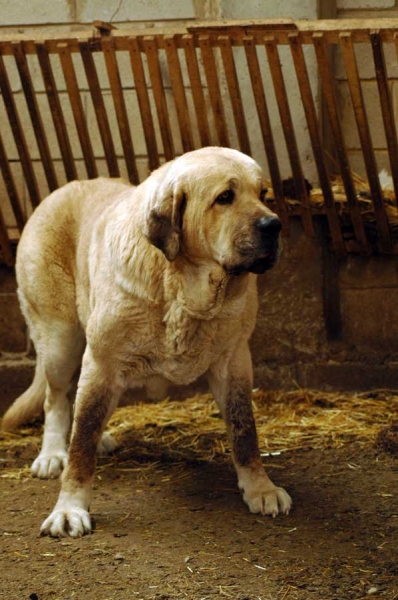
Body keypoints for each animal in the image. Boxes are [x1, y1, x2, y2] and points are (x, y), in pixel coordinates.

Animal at [1, 148, 290, 536]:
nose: (273, 225)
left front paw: (260, 488)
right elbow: (81, 444)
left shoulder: (235, 361)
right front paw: (69, 508)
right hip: (60, 341)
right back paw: (52, 453)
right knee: (55, 398)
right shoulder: (102, 361)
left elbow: (245, 430)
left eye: (264, 194)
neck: (183, 287)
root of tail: (62, 190)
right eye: (225, 197)